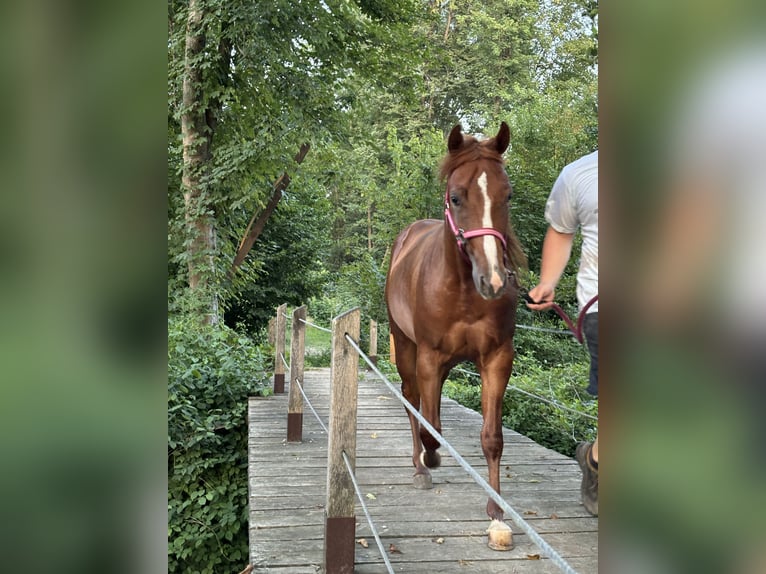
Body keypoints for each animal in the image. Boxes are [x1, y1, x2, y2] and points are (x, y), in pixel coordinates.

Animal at [388, 122, 524, 552]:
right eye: (456, 197)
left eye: (507, 195)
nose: (494, 280)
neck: (462, 292)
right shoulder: (429, 358)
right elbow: (430, 428)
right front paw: (429, 460)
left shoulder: (497, 359)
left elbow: (492, 438)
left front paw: (497, 515)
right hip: (407, 349)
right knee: (412, 401)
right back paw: (420, 468)